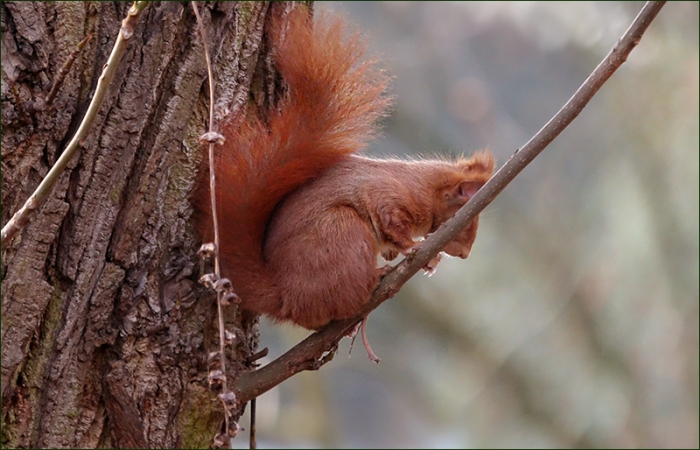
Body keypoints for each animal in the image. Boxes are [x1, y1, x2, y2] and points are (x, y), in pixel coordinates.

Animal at [197, 9, 494, 334]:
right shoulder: (391, 196)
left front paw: (425, 261)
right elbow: (392, 223)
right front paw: (415, 247)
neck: (424, 186)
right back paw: (375, 279)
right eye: (468, 221)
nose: (465, 254)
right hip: (342, 233)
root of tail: (288, 298)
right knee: (345, 298)